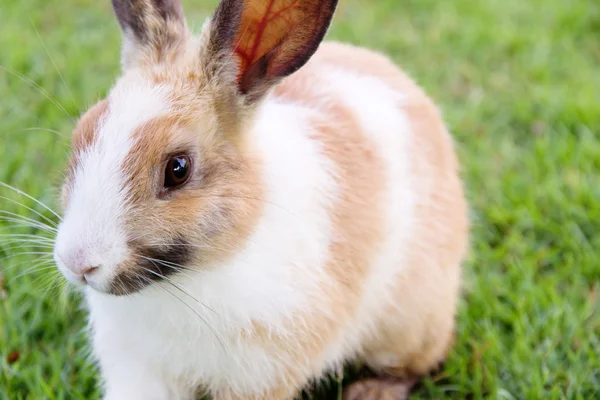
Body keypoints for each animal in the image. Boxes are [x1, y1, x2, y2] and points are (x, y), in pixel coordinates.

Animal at [52, 0, 468, 398]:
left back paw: (371, 392)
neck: (192, 277)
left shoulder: (259, 376)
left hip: (407, 326)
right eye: (81, 134)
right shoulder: (137, 366)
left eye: (178, 169)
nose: (77, 263)